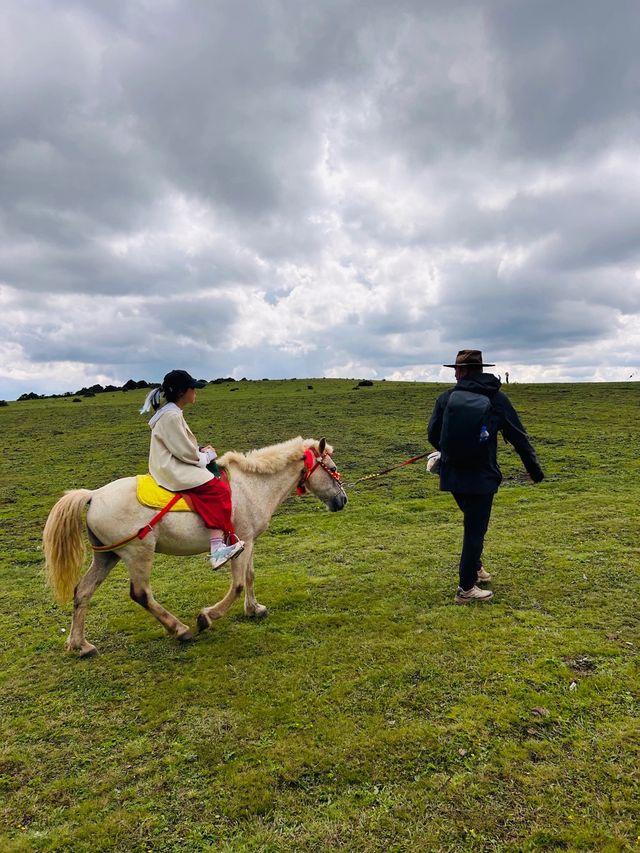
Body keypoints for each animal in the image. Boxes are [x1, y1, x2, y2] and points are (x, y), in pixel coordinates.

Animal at [43, 436, 348, 656]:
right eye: (332, 469)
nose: (342, 500)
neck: (252, 486)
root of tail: (94, 495)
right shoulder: (242, 541)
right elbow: (238, 584)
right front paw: (207, 617)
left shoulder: (249, 541)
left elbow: (249, 577)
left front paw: (254, 609)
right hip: (138, 554)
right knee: (141, 594)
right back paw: (180, 630)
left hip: (107, 557)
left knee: (83, 592)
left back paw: (81, 645)